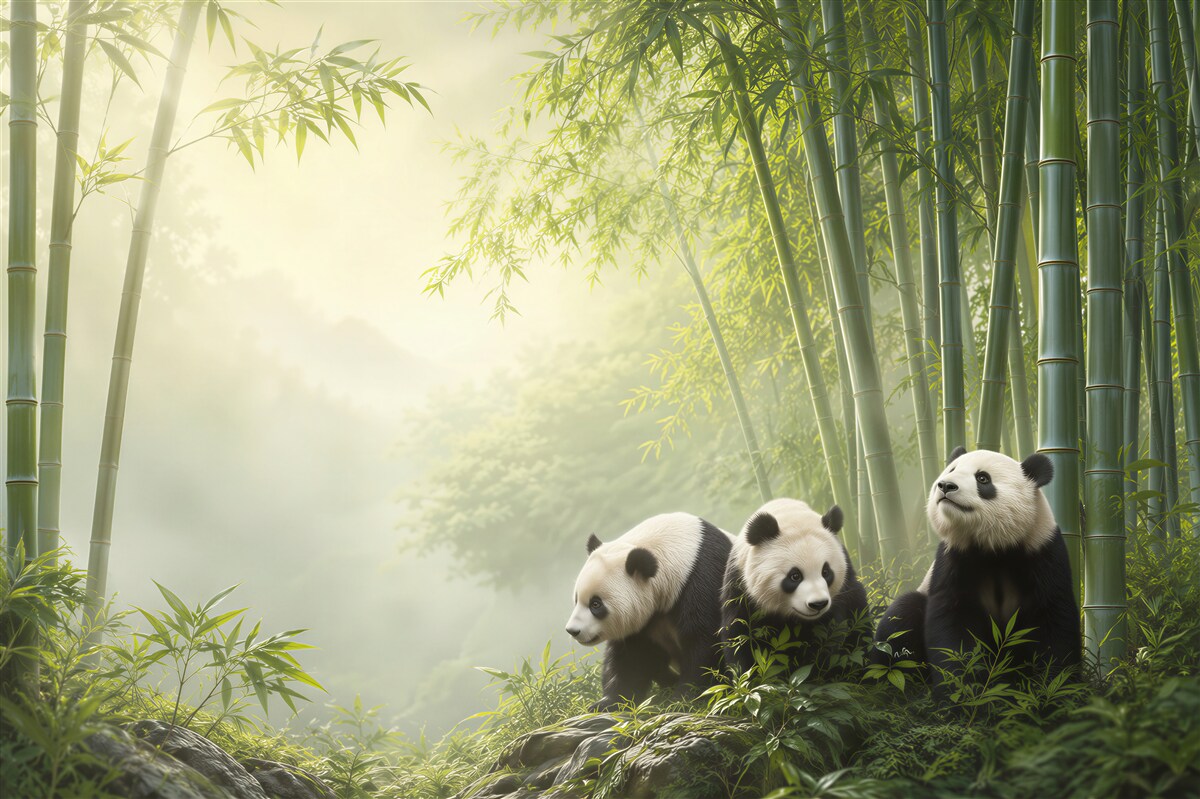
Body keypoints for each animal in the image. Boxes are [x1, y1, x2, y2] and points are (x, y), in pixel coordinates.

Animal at [565, 512, 732, 711]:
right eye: (577, 599)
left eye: (596, 604)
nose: (573, 631)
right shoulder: (644, 622)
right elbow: (631, 659)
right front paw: (607, 703)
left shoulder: (703, 580)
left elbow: (704, 641)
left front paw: (684, 698)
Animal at [720, 499, 870, 677]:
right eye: (795, 576)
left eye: (826, 572)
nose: (818, 604)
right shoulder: (740, 589)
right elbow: (740, 637)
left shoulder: (843, 591)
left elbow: (831, 633)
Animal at [872, 447, 1081, 691]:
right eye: (952, 469)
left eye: (982, 478)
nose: (945, 485)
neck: (993, 546)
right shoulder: (953, 559)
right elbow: (952, 626)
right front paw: (963, 689)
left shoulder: (1042, 553)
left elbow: (1053, 622)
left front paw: (1053, 687)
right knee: (900, 620)